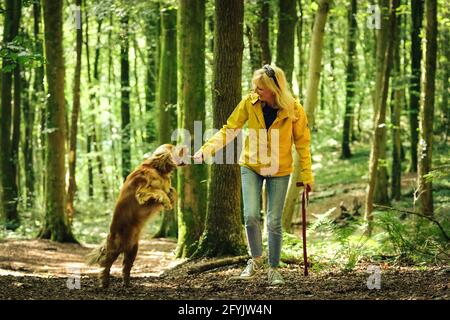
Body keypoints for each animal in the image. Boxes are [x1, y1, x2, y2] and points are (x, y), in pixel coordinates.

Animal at [87, 144, 185, 288]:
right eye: (176, 148)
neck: (158, 170)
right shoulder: (142, 191)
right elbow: (159, 191)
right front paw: (167, 202)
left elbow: (172, 190)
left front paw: (171, 198)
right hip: (114, 249)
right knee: (105, 264)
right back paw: (104, 282)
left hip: (133, 250)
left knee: (126, 268)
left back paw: (127, 283)